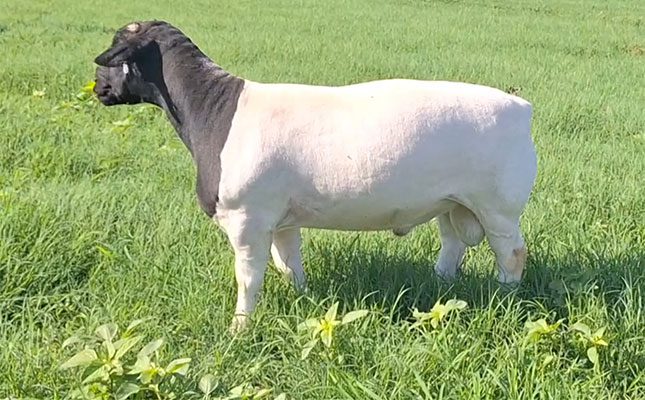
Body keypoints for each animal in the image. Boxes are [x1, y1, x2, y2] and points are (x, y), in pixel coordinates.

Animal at [93, 20, 538, 331]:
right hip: (452, 202)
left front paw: (239, 328)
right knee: (452, 244)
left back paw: (505, 296)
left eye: (115, 55)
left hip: (498, 207)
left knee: (512, 254)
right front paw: (302, 299)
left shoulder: (247, 219)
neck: (216, 111)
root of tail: (521, 106)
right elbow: (290, 263)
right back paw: (440, 284)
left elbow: (249, 278)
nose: (97, 88)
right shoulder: (281, 220)